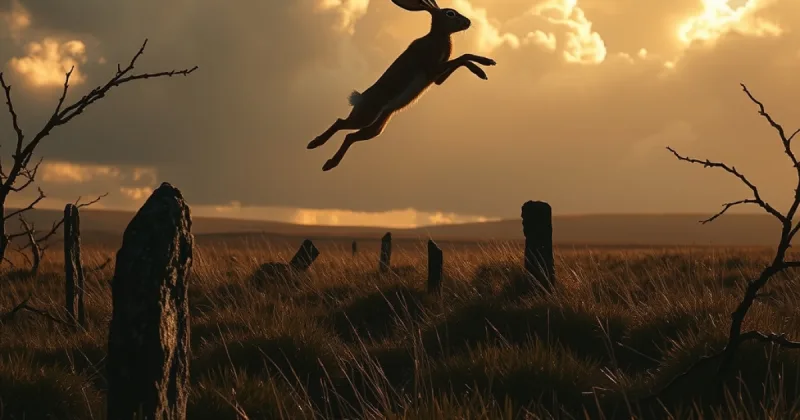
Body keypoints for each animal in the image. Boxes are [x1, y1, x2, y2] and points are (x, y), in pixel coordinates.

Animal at [307, 0, 496, 171]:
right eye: (450, 13)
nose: (468, 22)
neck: (437, 36)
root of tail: (359, 99)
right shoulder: (432, 67)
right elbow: (463, 57)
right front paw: (483, 69)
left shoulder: (436, 77)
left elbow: (460, 61)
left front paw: (485, 66)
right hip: (367, 116)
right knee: (341, 123)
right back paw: (314, 144)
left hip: (377, 126)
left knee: (350, 137)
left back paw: (329, 164)